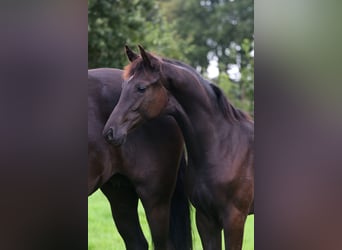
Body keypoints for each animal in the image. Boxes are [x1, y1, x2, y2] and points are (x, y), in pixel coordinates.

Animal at [103, 47, 254, 250]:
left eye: (141, 88)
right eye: (123, 87)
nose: (110, 132)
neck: (224, 147)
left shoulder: (235, 219)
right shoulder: (205, 219)